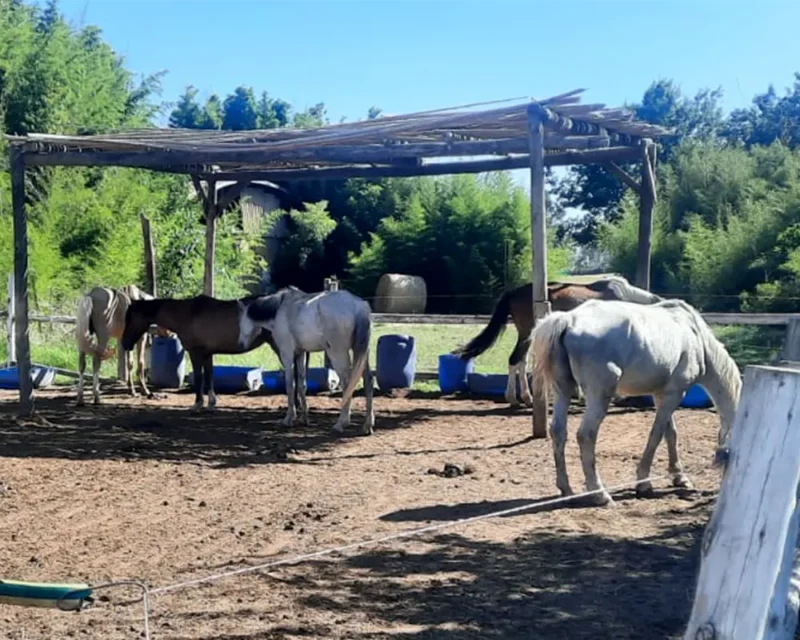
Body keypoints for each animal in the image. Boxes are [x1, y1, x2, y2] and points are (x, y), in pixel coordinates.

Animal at [120, 293, 308, 413]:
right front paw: (211, 404)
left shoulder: (195, 353)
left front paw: (197, 405)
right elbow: (209, 376)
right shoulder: (207, 353)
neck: (186, 314)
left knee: (293, 376)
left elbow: (199, 377)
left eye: (130, 318)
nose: (125, 343)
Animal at [244, 287, 375, 435]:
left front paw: (289, 418)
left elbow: (290, 386)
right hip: (362, 353)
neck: (280, 308)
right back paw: (367, 426)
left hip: (338, 354)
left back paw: (341, 423)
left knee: (348, 384)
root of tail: (358, 307)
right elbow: (302, 385)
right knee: (368, 380)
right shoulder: (301, 354)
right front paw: (304, 418)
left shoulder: (287, 355)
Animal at [451, 275, 663, 407]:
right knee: (514, 360)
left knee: (520, 362)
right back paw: (514, 398)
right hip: (526, 335)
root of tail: (513, 292)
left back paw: (525, 398)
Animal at [530, 298, 741, 507]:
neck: (696, 336)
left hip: (563, 390)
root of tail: (568, 319)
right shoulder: (674, 394)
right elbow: (656, 435)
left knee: (558, 431)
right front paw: (643, 483)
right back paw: (600, 494)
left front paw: (679, 477)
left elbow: (670, 434)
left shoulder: (661, 395)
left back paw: (566, 490)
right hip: (599, 396)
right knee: (586, 436)